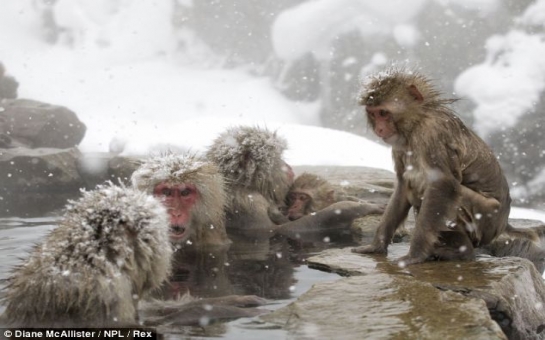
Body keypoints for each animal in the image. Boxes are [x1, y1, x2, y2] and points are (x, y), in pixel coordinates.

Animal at [205, 125, 382, 236]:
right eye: (278, 158)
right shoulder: (250, 203)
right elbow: (276, 230)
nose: (288, 166)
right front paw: (349, 207)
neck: (246, 186)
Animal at [350, 67, 540, 266]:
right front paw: (376, 246)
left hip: (487, 218)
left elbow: (442, 184)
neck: (417, 123)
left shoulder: (432, 134)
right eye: (373, 113)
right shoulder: (399, 146)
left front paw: (415, 255)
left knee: (445, 194)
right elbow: (403, 186)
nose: (379, 129)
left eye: (383, 113)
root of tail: (504, 223)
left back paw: (461, 252)